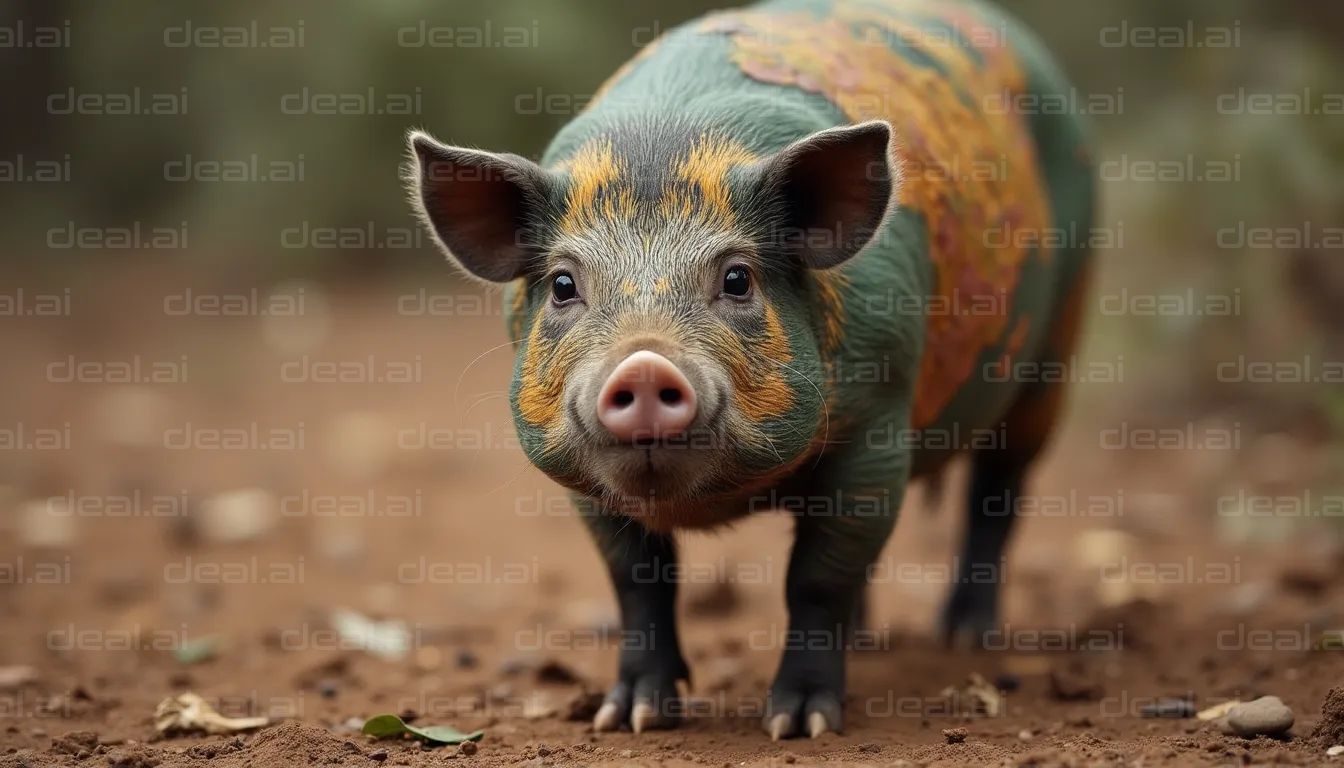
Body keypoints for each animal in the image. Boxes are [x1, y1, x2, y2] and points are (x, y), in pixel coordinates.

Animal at [407, 0, 1094, 741]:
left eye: (737, 279)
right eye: (563, 286)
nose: (643, 363)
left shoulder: (878, 426)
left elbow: (815, 578)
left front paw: (798, 724)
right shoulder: (585, 483)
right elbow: (639, 580)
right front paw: (631, 718)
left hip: (1057, 350)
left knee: (998, 492)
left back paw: (964, 636)